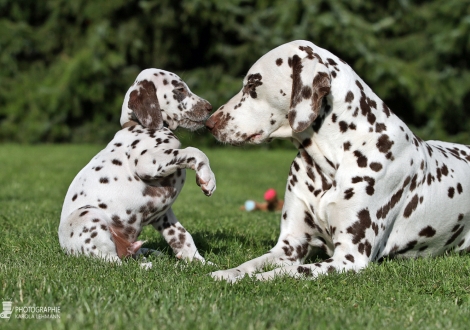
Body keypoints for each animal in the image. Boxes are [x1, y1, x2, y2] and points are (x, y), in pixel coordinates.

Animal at [57, 68, 217, 266]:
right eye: (179, 89)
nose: (210, 107)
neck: (139, 126)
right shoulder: (146, 161)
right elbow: (194, 151)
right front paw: (207, 179)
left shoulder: (163, 215)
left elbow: (182, 237)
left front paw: (199, 262)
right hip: (88, 216)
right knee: (112, 261)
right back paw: (146, 266)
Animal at [206, 39, 470, 282]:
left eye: (252, 84)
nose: (209, 123)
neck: (329, 163)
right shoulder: (290, 245)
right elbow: (250, 264)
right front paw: (228, 273)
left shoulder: (349, 258)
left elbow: (285, 272)